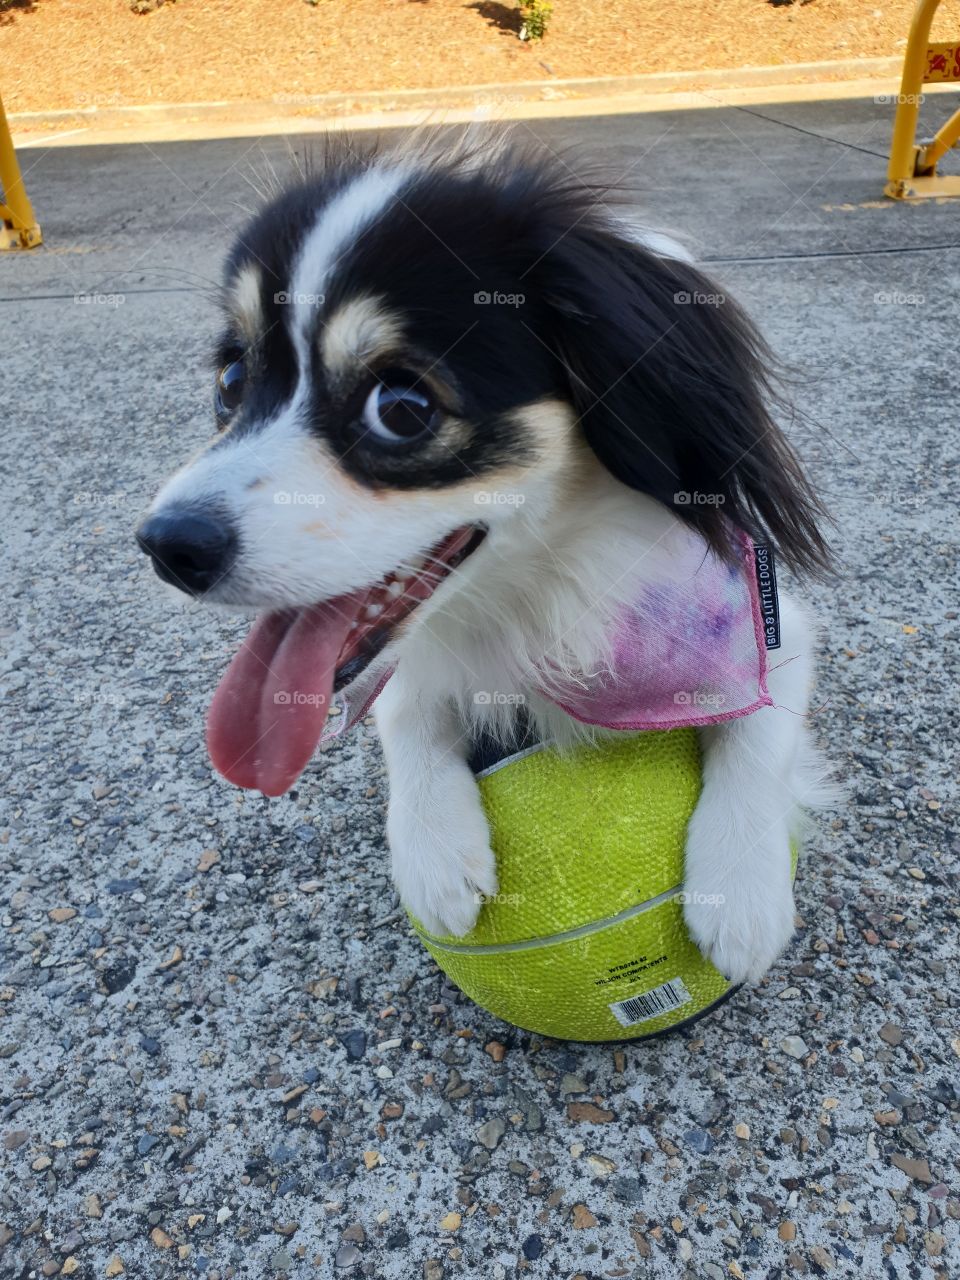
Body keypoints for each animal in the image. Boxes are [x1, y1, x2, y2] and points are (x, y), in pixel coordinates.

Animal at [136, 132, 834, 977]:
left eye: (402, 408)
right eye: (232, 378)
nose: (167, 546)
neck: (529, 596)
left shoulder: (760, 627)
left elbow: (759, 732)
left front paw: (739, 893)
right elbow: (405, 706)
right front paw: (435, 854)